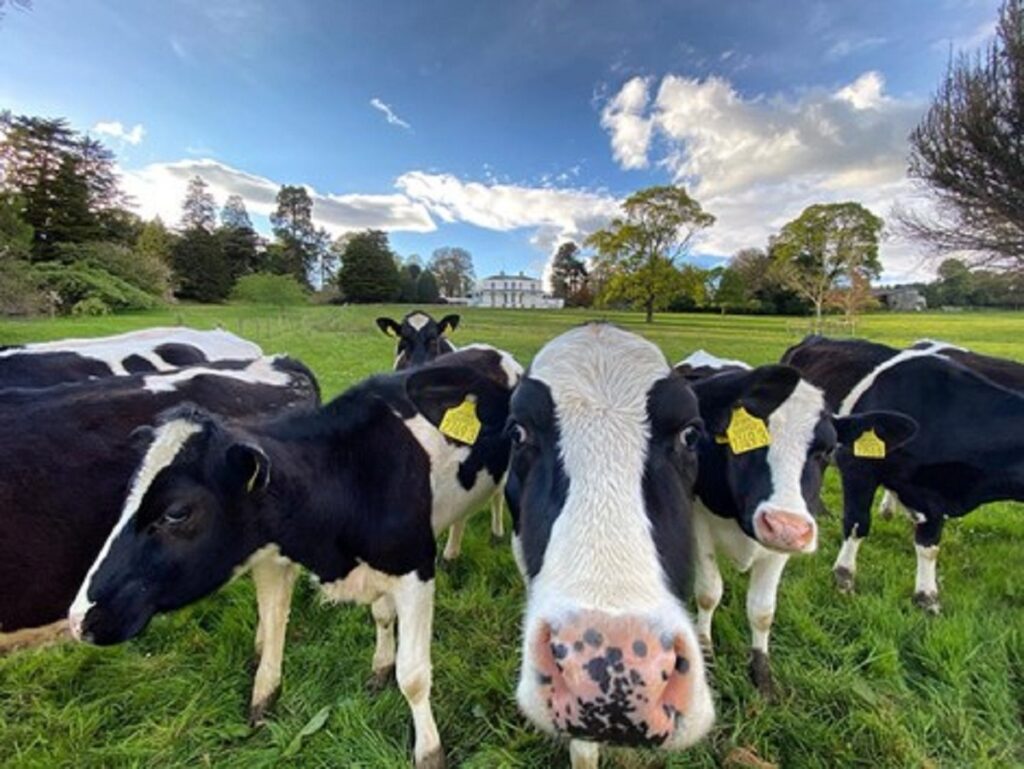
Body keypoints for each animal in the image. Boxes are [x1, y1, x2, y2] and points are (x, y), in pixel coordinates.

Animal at [68, 344, 522, 769]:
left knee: (497, 496)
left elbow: (412, 674)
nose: (79, 618)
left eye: (177, 512)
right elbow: (281, 629)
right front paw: (268, 700)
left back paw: (496, 530)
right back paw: (453, 550)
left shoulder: (413, 567)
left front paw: (429, 750)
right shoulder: (275, 559)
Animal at [676, 350, 915, 696]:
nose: (785, 527)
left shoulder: (783, 545)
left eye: (826, 451)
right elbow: (709, 592)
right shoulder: (699, 523)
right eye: (743, 442)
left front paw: (762, 674)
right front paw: (705, 654)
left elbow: (762, 610)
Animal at [784, 336, 1024, 613]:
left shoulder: (935, 495)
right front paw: (844, 579)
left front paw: (927, 598)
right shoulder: (858, 468)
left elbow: (928, 545)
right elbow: (857, 525)